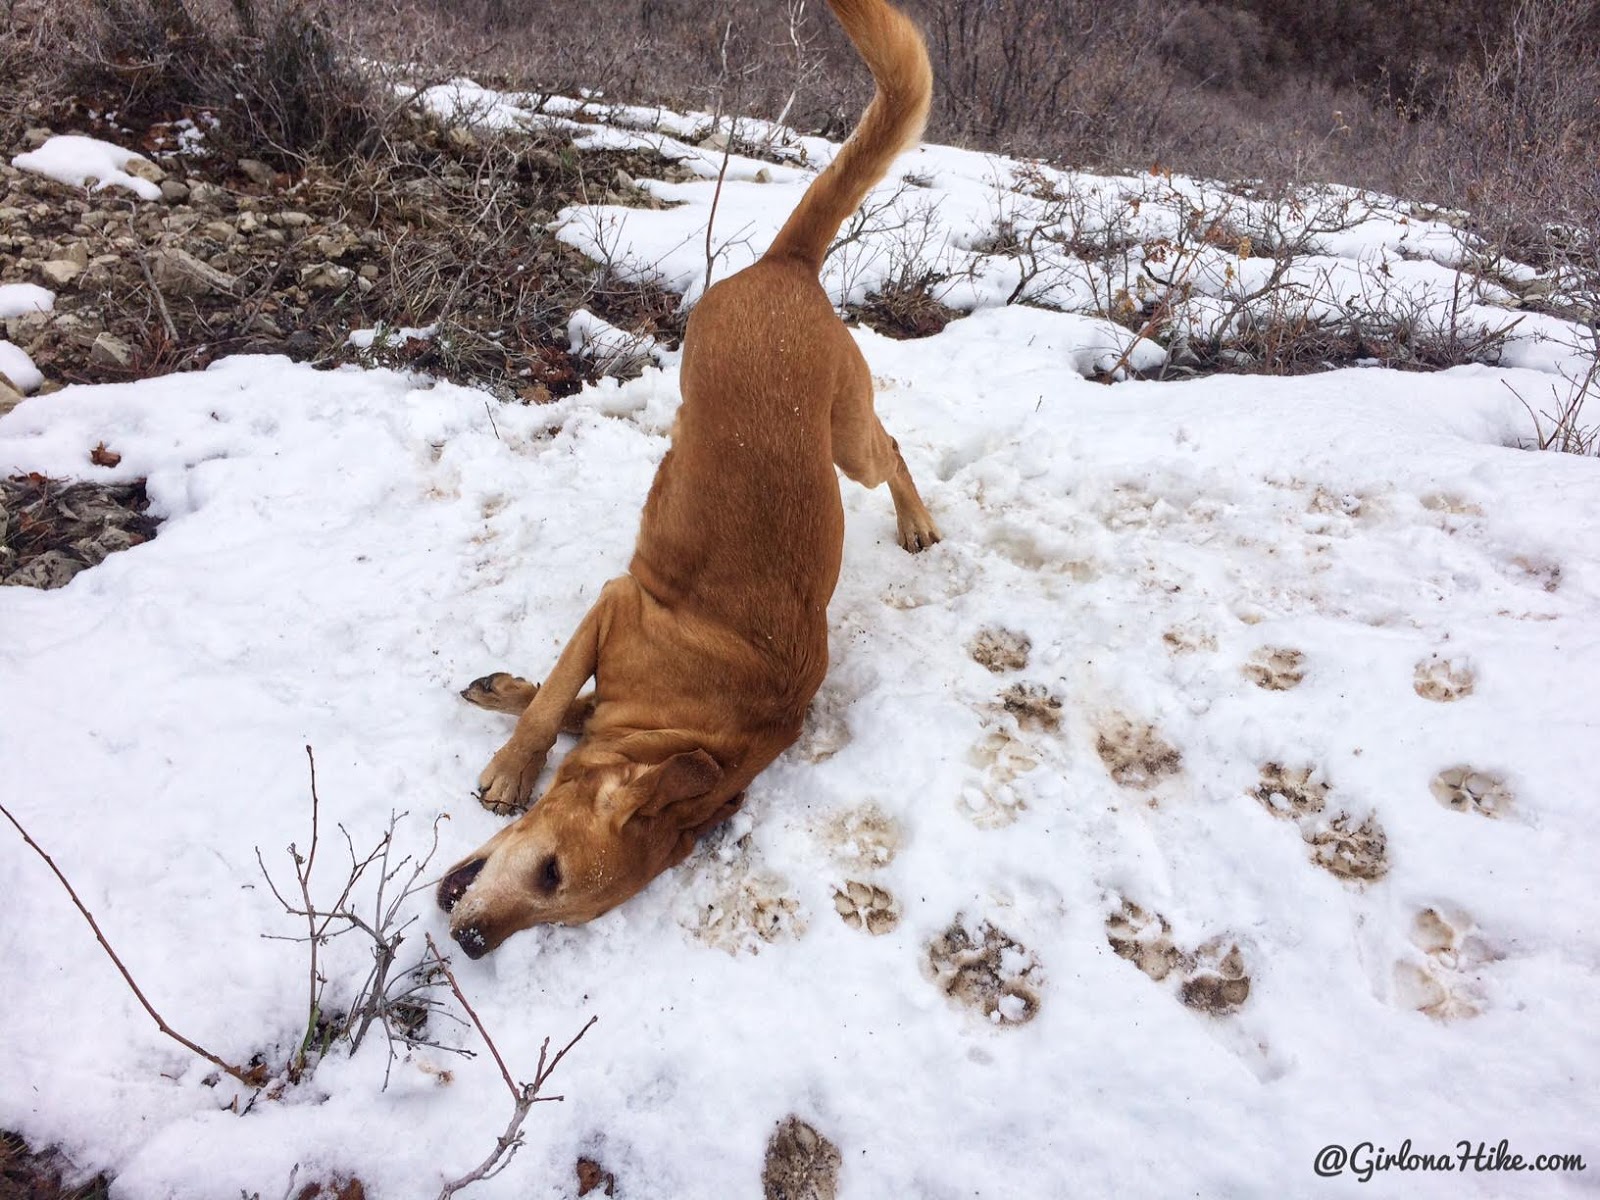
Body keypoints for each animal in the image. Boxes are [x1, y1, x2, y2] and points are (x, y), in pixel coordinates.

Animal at [438, 0, 934, 960]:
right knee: (889, 445)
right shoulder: (615, 602)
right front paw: (516, 763)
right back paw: (917, 521)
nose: (475, 945)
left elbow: (566, 702)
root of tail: (788, 265)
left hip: (833, 436)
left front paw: (514, 703)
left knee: (890, 447)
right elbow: (554, 705)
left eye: (564, 905)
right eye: (549, 871)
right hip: (842, 442)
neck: (695, 725)